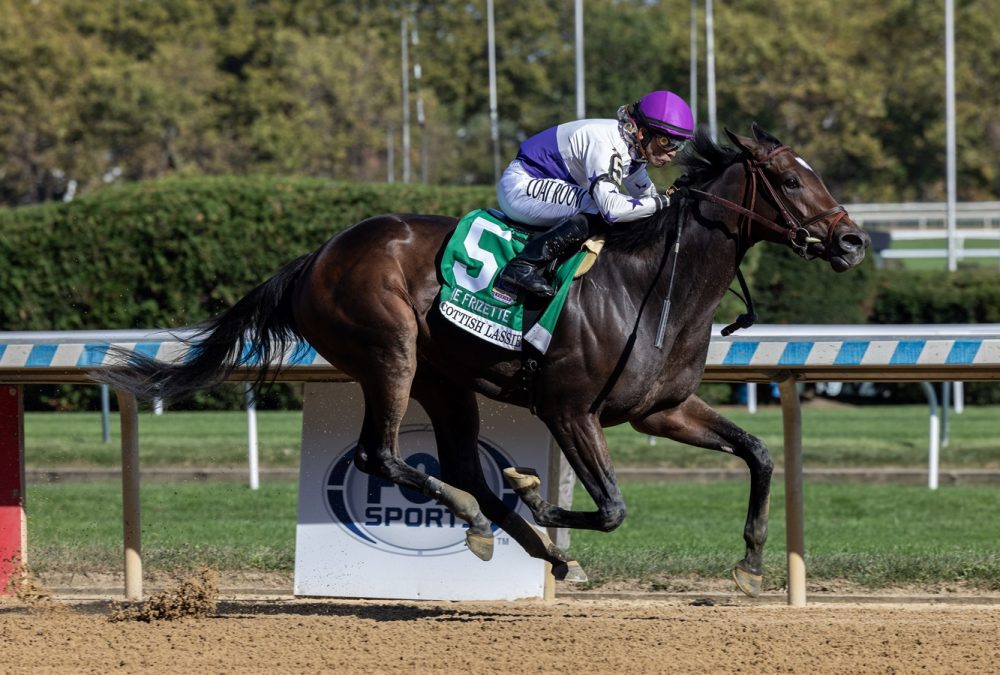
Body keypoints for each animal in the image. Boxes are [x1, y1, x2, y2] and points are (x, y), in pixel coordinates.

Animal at [97, 125, 872, 596]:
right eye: (791, 182)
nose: (853, 241)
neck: (652, 285)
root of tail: (315, 257)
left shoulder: (662, 409)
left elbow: (758, 454)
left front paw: (749, 563)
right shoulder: (569, 408)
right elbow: (611, 507)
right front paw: (539, 491)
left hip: (446, 381)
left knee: (461, 464)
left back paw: (527, 541)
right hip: (391, 353)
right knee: (384, 455)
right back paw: (489, 518)